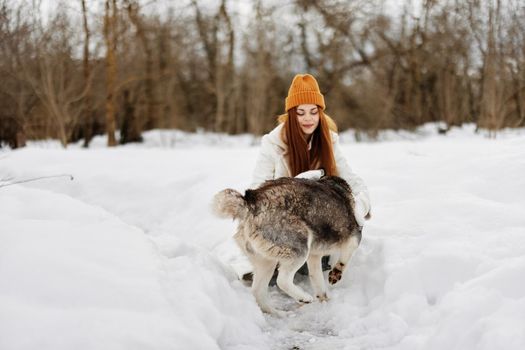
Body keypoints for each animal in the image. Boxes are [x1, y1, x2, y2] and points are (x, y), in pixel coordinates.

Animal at [212, 176, 360, 314]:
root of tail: (250, 202)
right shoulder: (354, 236)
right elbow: (344, 259)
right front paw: (335, 274)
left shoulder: (314, 256)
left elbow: (317, 281)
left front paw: (325, 302)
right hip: (299, 248)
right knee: (282, 280)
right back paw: (303, 298)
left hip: (267, 261)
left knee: (258, 292)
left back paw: (279, 314)